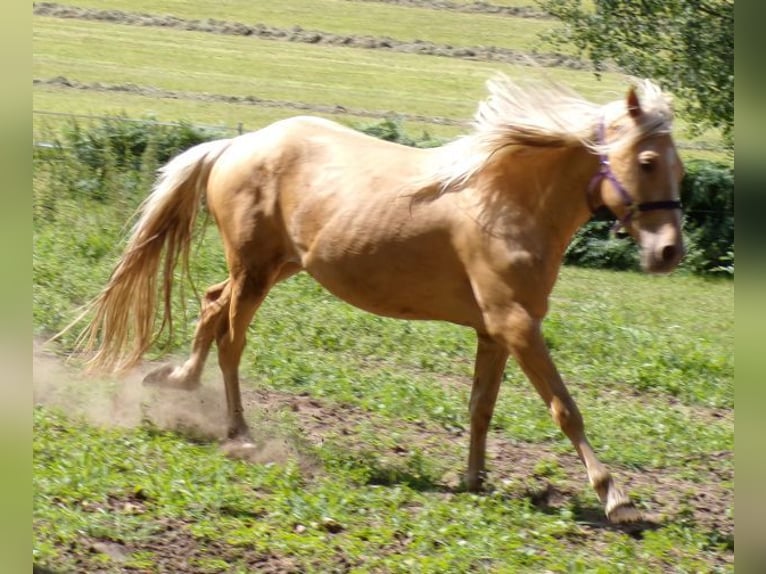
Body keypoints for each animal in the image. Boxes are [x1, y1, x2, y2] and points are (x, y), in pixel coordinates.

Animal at [73, 77, 684, 528]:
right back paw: (237, 433)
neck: (506, 201)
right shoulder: (517, 325)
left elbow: (480, 407)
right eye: (647, 161)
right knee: (232, 339)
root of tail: (235, 145)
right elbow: (564, 408)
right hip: (255, 272)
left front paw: (474, 479)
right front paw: (618, 500)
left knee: (209, 305)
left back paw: (175, 380)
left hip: (272, 268)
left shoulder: (493, 331)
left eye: (678, 166)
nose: (669, 251)